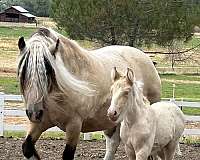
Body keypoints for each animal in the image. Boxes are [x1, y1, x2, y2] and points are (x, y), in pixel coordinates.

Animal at [16, 26, 161, 159]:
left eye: (47, 71)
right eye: (23, 72)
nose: (34, 112)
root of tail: (147, 60)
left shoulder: (74, 125)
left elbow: (67, 155)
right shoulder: (39, 123)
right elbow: (27, 147)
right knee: (113, 143)